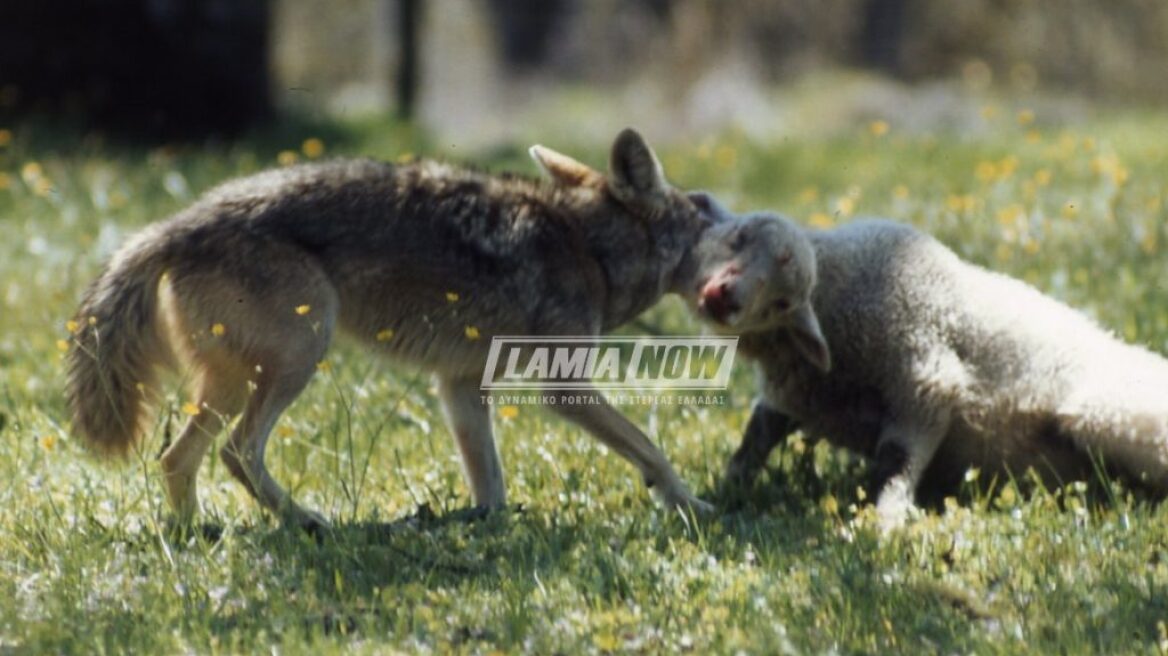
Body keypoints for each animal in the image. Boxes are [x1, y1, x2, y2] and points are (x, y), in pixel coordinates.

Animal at [682, 200, 1168, 525]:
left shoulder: (926, 380)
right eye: (738, 239)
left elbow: (897, 460)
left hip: (1106, 415)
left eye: (783, 301)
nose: (724, 296)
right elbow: (757, 436)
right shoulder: (799, 395)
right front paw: (724, 492)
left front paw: (884, 521)